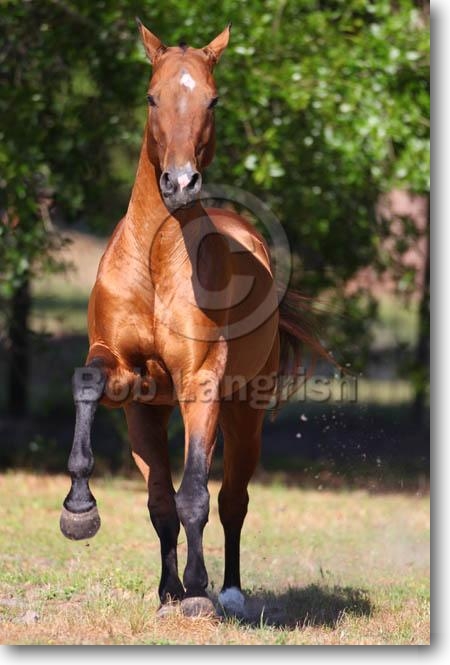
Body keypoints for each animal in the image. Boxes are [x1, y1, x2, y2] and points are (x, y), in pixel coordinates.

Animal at [60, 21, 326, 618]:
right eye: (152, 96)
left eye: (213, 98)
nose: (179, 183)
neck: (158, 260)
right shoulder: (123, 374)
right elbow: (87, 383)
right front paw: (79, 510)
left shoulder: (200, 382)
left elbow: (197, 496)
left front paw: (199, 592)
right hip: (148, 413)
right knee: (159, 499)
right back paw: (166, 590)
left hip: (243, 413)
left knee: (231, 500)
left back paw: (227, 592)